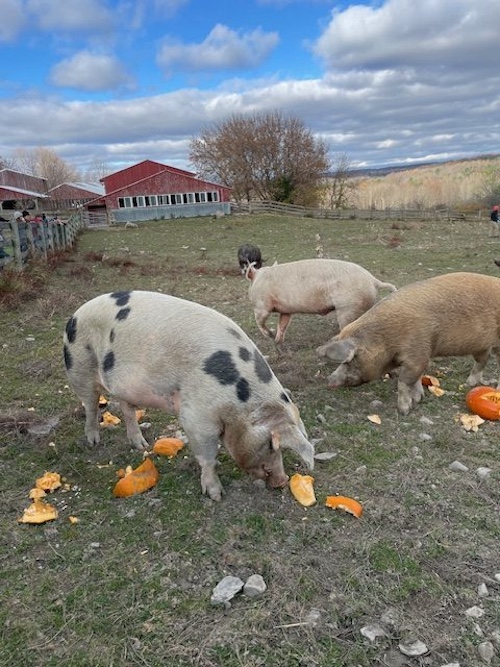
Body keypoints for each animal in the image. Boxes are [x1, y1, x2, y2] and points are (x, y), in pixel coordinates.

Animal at [63, 290, 314, 501]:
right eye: (271, 444)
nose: (282, 481)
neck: (239, 404)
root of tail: (74, 316)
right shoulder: (196, 417)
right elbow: (208, 457)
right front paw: (216, 495)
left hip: (124, 386)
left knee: (127, 410)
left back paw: (142, 445)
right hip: (79, 367)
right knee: (91, 405)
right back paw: (93, 441)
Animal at [246, 258, 396, 343]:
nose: (274, 339)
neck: (257, 279)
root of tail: (373, 280)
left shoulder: (261, 305)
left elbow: (259, 321)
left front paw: (269, 336)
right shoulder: (286, 310)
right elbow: (282, 324)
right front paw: (278, 341)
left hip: (347, 308)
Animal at [316, 272, 500, 415]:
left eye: (351, 360)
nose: (329, 380)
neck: (387, 339)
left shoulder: (418, 353)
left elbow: (404, 381)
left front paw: (404, 411)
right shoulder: (418, 358)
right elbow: (417, 379)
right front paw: (419, 399)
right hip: (482, 345)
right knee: (482, 361)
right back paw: (471, 384)